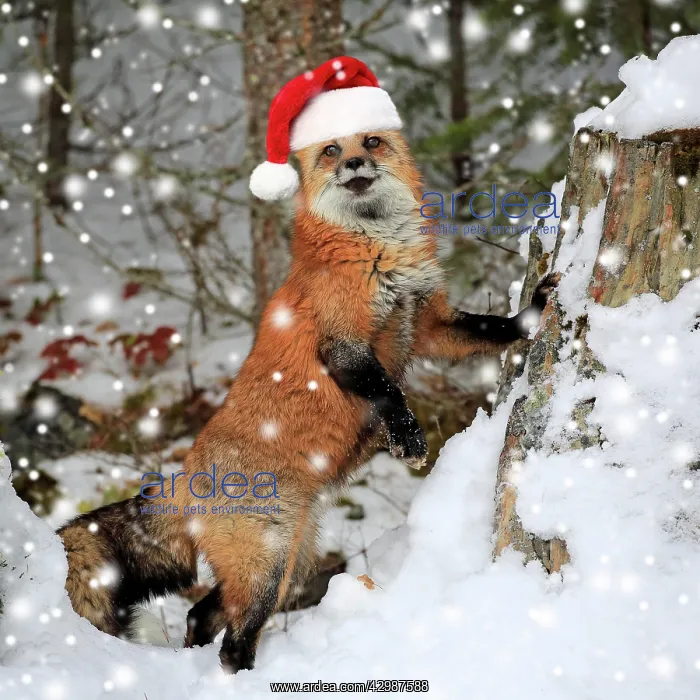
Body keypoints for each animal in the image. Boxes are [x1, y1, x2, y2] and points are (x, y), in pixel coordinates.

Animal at [58, 123, 558, 673]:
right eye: (331, 150)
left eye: (372, 142)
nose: (354, 166)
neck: (379, 249)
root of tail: (185, 476)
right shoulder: (342, 344)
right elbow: (388, 390)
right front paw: (407, 436)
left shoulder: (430, 325)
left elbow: (490, 330)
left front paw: (533, 312)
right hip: (268, 568)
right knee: (233, 642)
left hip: (290, 565)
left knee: (199, 616)